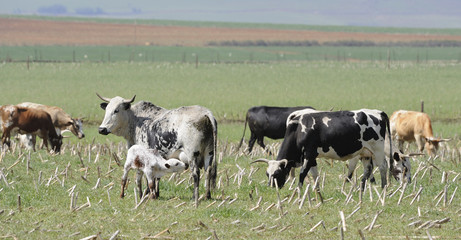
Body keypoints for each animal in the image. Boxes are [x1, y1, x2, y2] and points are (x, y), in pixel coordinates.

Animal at [250, 109, 408, 191]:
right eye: (267, 174)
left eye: (277, 173)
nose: (272, 187)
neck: (298, 129)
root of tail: (378, 112)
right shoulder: (312, 158)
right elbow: (315, 175)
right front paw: (317, 192)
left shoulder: (309, 154)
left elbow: (302, 175)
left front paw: (298, 192)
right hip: (365, 152)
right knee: (368, 170)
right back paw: (362, 190)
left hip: (377, 149)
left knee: (382, 167)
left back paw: (383, 188)